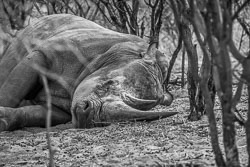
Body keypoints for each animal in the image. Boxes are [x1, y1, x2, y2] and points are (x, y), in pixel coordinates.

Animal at [0, 13, 177, 131]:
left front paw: (3, 120)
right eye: (106, 84)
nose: (90, 116)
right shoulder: (43, 55)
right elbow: (10, 94)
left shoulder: (62, 109)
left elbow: (35, 113)